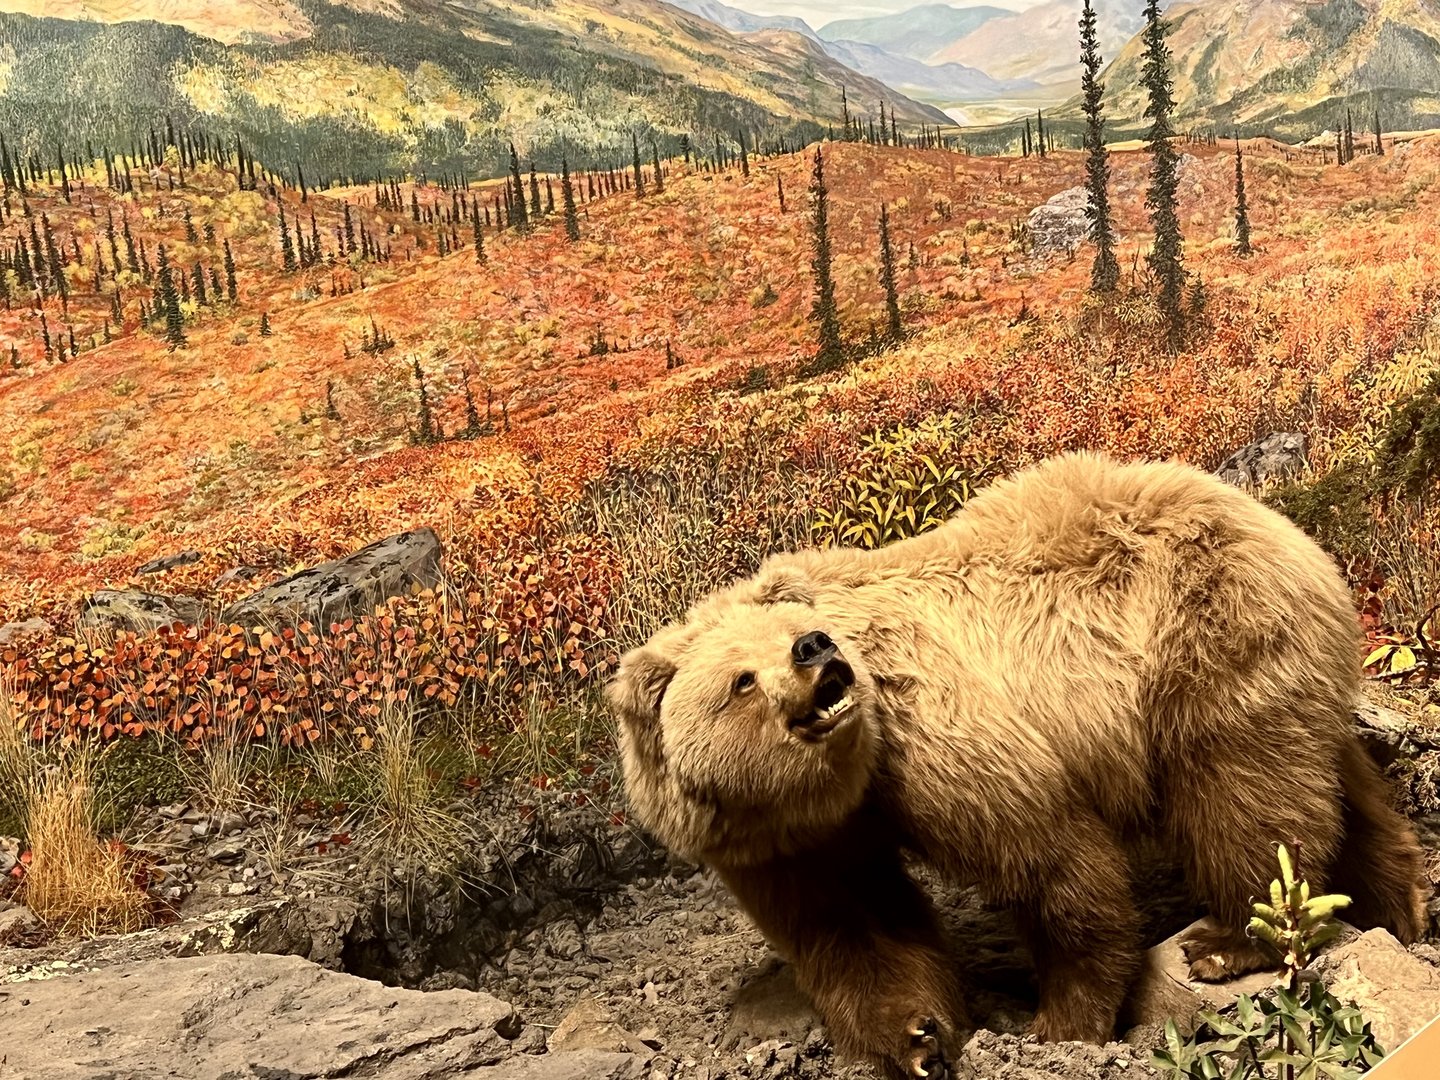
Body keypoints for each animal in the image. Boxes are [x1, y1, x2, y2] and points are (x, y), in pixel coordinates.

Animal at [605, 451, 1430, 1079]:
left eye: (793, 630)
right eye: (740, 679)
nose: (816, 649)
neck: (836, 788)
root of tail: (1286, 529)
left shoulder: (923, 737)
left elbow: (1047, 858)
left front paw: (1058, 1020)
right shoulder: (785, 845)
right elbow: (851, 926)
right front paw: (917, 1039)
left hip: (1202, 643)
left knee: (1243, 794)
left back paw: (1230, 938)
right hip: (1281, 672)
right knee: (1335, 785)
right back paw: (1396, 906)